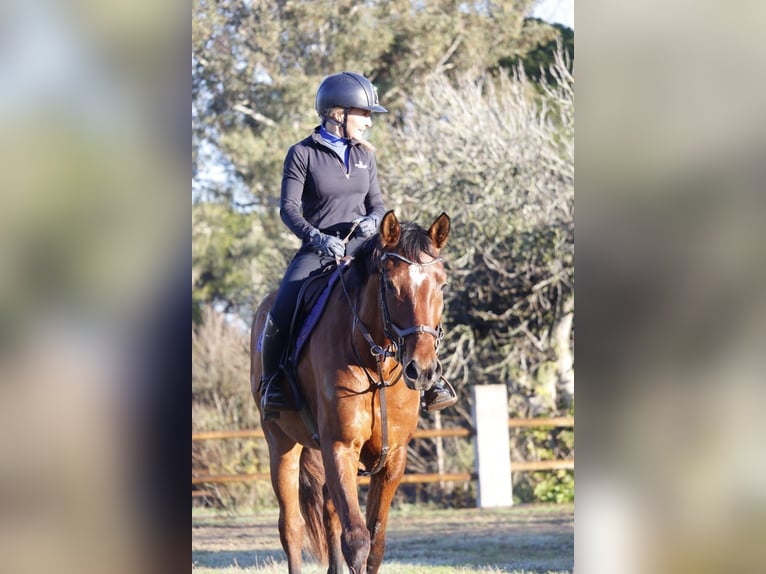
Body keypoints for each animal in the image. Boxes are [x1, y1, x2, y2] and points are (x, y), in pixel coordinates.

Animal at [250, 210, 451, 574]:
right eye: (390, 285)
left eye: (441, 285)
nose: (422, 370)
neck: (375, 363)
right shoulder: (340, 448)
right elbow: (357, 541)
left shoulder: (393, 457)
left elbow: (376, 542)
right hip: (280, 443)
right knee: (292, 526)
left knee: (328, 509)